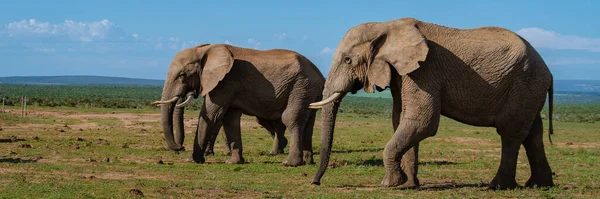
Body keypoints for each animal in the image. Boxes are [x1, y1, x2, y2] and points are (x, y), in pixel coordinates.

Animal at [152, 44, 326, 166]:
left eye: (182, 75)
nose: (179, 149)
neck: (205, 49)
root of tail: (320, 75)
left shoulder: (225, 83)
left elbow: (211, 115)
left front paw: (191, 160)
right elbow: (230, 120)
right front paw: (233, 162)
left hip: (301, 87)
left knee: (291, 119)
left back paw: (290, 163)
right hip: (308, 92)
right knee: (308, 124)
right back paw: (308, 161)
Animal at [312, 18, 556, 190]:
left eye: (348, 60)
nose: (315, 182)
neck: (386, 26)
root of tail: (549, 72)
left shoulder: (424, 71)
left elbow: (421, 121)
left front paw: (390, 184)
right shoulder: (403, 72)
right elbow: (402, 120)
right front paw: (409, 185)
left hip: (524, 83)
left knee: (511, 132)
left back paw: (498, 186)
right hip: (530, 88)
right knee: (532, 133)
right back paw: (539, 185)